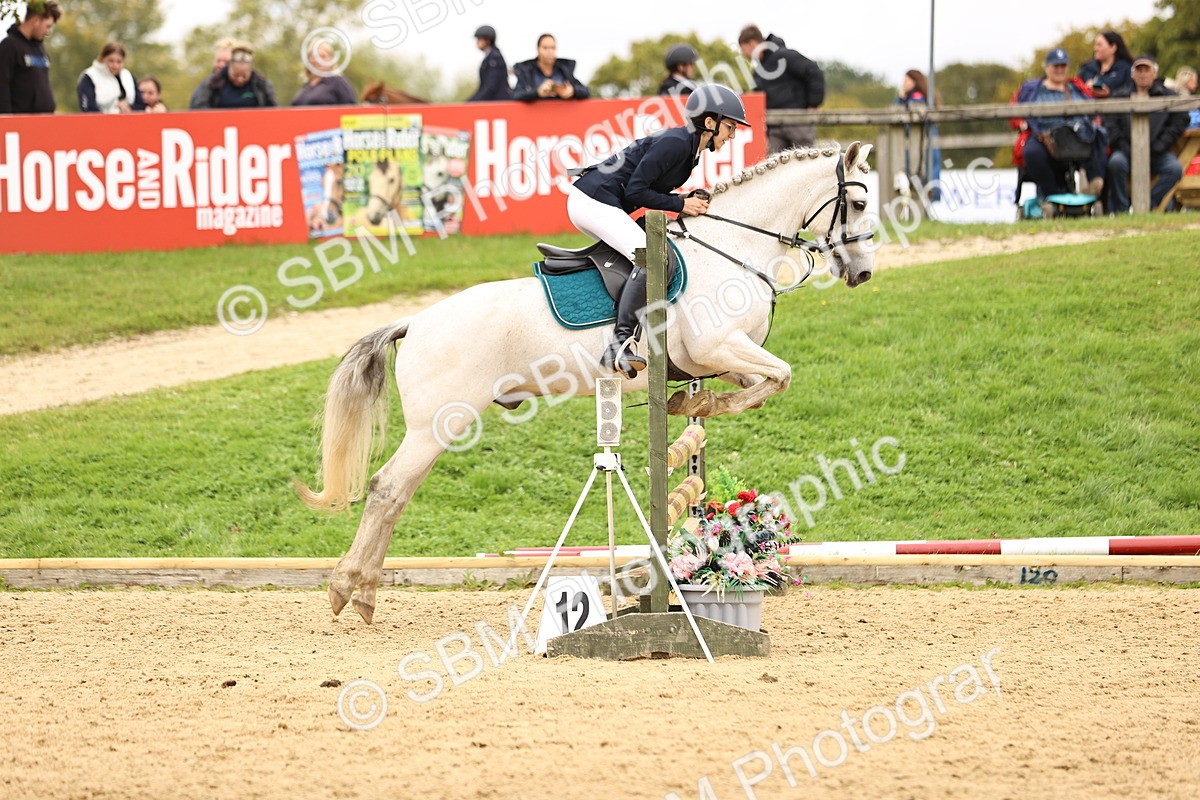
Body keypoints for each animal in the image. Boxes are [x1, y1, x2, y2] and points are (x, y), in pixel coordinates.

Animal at [298, 142, 877, 623]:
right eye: (860, 203)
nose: (863, 274)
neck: (733, 248)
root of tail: (414, 322)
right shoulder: (719, 344)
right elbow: (781, 376)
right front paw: (694, 405)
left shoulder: (726, 357)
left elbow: (761, 384)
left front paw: (698, 404)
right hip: (436, 426)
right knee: (388, 490)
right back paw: (352, 590)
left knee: (394, 494)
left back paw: (360, 590)